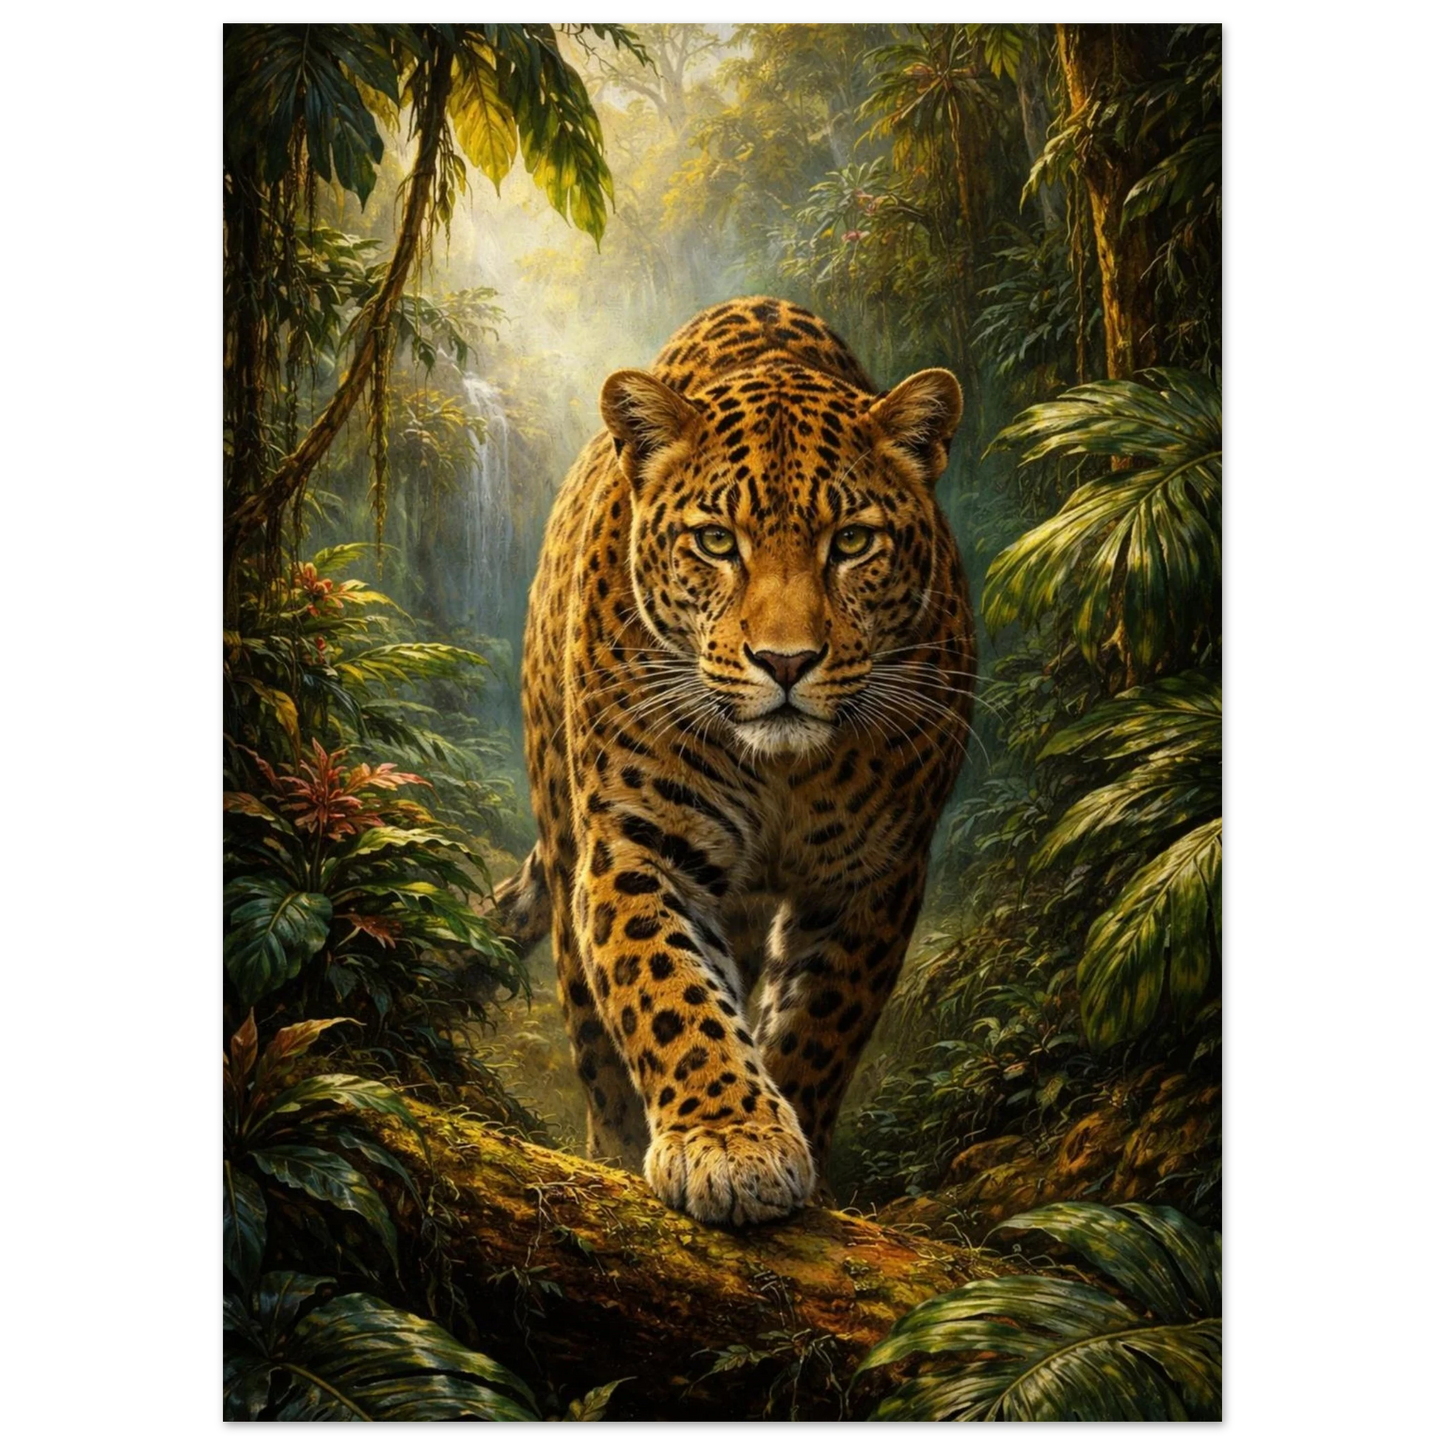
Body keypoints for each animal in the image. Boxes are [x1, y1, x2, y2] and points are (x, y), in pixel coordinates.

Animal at [492, 297, 975, 1226]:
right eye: (716, 541)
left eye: (851, 541)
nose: (785, 662)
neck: (782, 773)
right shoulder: (638, 844)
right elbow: (668, 994)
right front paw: (730, 1139)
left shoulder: (876, 872)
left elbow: (820, 1023)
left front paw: (788, 1133)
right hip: (563, 828)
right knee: (591, 1024)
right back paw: (614, 1145)